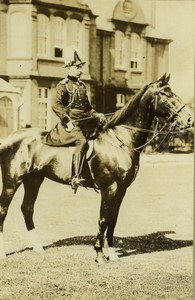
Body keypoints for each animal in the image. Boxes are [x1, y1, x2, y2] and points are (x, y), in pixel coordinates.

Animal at [0, 75, 193, 262]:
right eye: (167, 94)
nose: (189, 119)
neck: (120, 140)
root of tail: (9, 139)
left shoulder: (121, 189)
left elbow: (113, 219)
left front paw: (113, 253)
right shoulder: (109, 188)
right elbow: (104, 218)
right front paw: (99, 253)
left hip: (33, 180)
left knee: (27, 209)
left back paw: (38, 247)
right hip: (11, 182)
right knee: (3, 210)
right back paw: (3, 253)